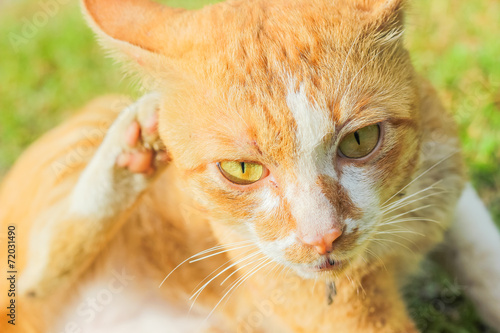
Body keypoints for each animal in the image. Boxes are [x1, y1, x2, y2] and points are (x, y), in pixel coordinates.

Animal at [0, 0, 500, 330]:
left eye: (359, 141)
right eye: (241, 169)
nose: (323, 237)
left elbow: (482, 256)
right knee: (34, 274)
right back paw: (134, 144)